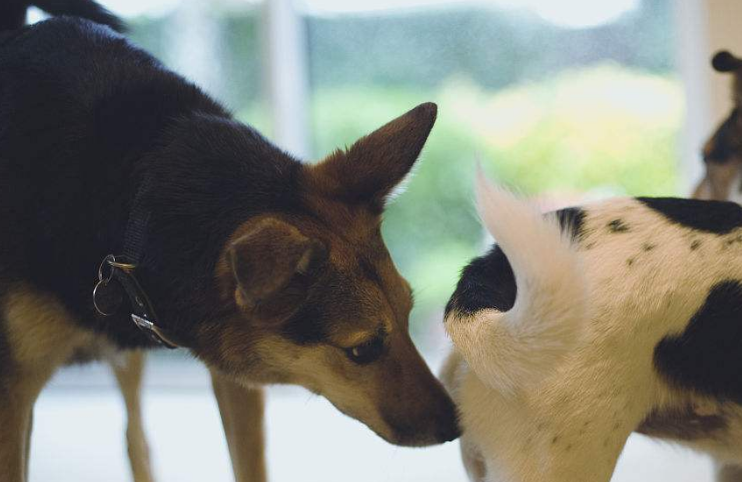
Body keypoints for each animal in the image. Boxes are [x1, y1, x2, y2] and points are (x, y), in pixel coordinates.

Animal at [0, 2, 460, 481]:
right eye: (364, 349)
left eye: (409, 317)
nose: (456, 426)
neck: (139, 187)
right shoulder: (12, 396)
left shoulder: (237, 372)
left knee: (135, 438)